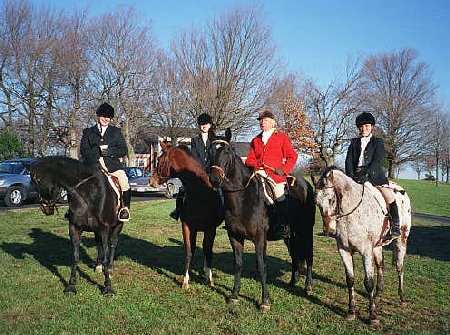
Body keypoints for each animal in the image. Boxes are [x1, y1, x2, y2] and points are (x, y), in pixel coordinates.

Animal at [29, 156, 123, 296]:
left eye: (38, 181)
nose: (45, 208)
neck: (87, 193)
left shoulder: (104, 229)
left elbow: (106, 256)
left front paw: (107, 287)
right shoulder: (74, 228)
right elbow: (74, 257)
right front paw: (71, 285)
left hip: (117, 225)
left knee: (112, 243)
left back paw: (110, 268)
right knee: (99, 245)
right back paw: (98, 265)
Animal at [149, 142, 223, 288]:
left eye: (160, 160)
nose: (151, 181)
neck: (200, 193)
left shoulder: (210, 229)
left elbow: (208, 251)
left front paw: (209, 278)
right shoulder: (188, 227)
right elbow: (189, 252)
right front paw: (185, 281)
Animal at [209, 129, 314, 312]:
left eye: (227, 152)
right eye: (209, 151)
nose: (214, 180)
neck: (243, 199)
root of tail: (306, 184)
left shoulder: (259, 238)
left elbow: (262, 265)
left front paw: (265, 301)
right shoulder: (234, 237)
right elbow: (238, 264)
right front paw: (234, 296)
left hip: (306, 231)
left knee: (308, 256)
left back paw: (307, 286)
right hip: (290, 235)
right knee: (295, 256)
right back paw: (293, 282)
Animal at [312, 167, 412, 326]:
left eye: (331, 199)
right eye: (316, 202)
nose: (329, 230)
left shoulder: (365, 251)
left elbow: (368, 282)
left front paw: (372, 316)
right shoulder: (344, 250)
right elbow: (350, 280)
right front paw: (351, 312)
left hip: (401, 240)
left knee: (399, 267)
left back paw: (401, 298)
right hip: (377, 246)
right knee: (380, 265)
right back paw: (377, 294)